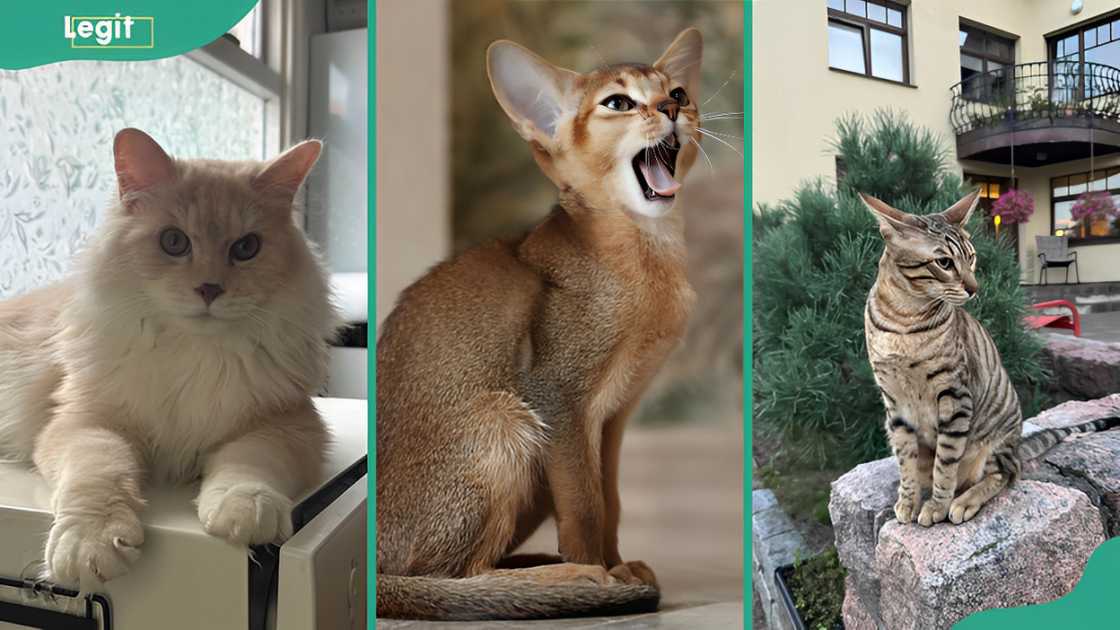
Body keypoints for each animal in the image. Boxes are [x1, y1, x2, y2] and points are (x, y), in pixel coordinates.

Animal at [0, 130, 336, 587]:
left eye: (247, 247)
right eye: (174, 242)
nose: (210, 288)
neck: (194, 351)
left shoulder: (287, 424)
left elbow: (248, 464)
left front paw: (243, 511)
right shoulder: (85, 424)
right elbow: (99, 472)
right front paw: (91, 544)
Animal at [380, 28, 703, 618]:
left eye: (678, 92)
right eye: (618, 103)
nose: (672, 109)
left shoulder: (613, 417)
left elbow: (610, 500)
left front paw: (617, 563)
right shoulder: (559, 397)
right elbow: (585, 506)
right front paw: (601, 571)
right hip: (504, 419)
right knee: (446, 576)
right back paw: (563, 579)